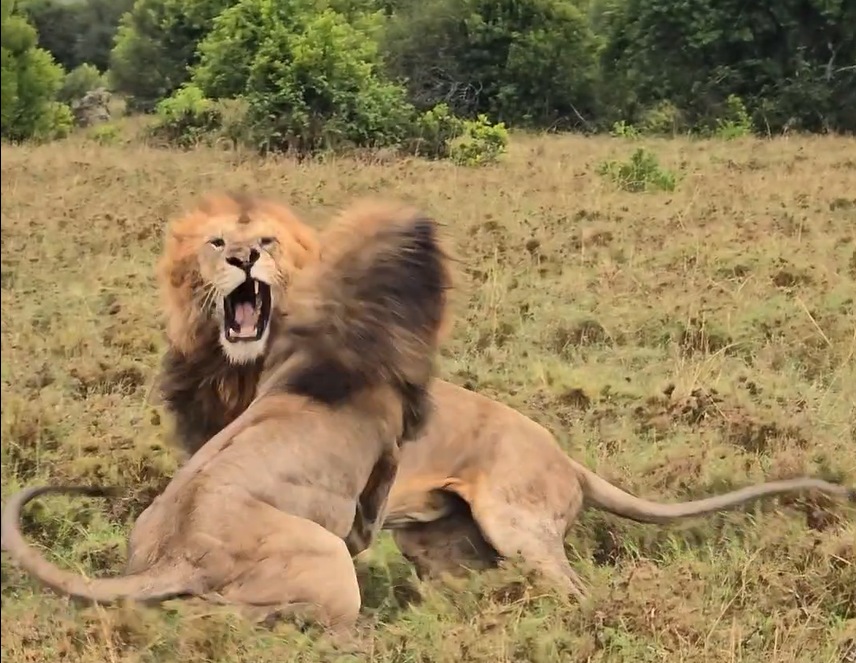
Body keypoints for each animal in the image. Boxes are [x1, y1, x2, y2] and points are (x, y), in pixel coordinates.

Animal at [155, 193, 855, 601]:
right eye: (216, 242)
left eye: (267, 243)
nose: (243, 257)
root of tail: (567, 459)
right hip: (440, 543)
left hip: (519, 525)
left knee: (578, 590)